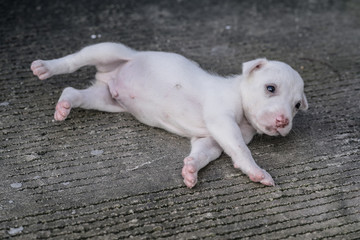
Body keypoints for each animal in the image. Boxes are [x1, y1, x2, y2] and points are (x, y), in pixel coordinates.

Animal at [31, 42, 308, 188]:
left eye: (296, 106)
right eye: (270, 88)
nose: (283, 121)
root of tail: (107, 77)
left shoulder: (211, 140)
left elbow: (203, 154)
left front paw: (191, 169)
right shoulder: (222, 120)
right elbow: (241, 149)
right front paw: (256, 171)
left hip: (104, 99)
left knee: (73, 92)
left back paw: (64, 105)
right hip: (108, 50)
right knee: (74, 60)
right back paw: (46, 67)